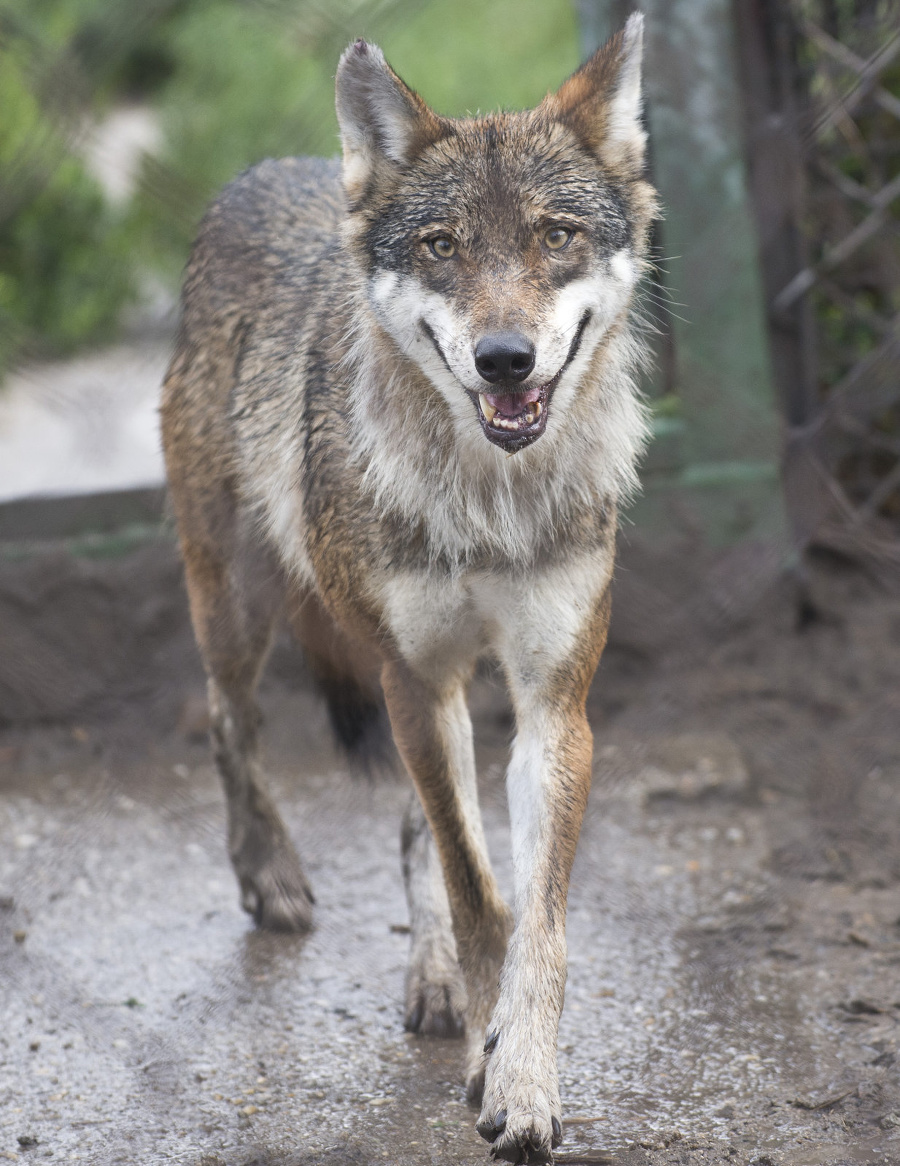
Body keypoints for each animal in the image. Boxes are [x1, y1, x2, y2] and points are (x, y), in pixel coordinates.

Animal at [159, 18, 652, 1166]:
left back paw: (431, 983)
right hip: (240, 610)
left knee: (415, 825)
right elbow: (481, 895)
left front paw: (520, 1075)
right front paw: (489, 1052)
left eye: (557, 236)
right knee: (227, 720)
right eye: (441, 247)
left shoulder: (554, 703)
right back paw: (272, 877)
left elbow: (534, 918)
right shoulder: (413, 676)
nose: (505, 357)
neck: (489, 498)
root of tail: (265, 172)